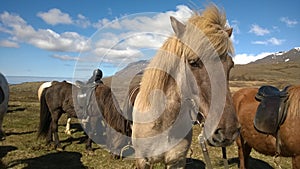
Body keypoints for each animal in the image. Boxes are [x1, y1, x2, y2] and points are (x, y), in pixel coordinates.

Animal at [132, 4, 240, 168]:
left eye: (230, 65)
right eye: (193, 62)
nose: (228, 132)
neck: (163, 123)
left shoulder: (177, 161)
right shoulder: (142, 161)